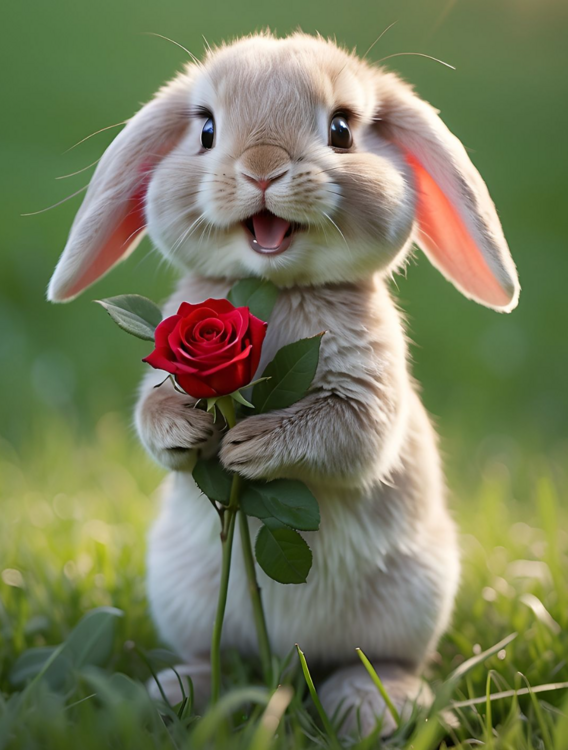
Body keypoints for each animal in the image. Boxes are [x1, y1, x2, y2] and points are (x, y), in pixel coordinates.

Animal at [48, 32, 519, 737]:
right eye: (207, 129)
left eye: (342, 129)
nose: (263, 168)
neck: (280, 286)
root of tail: (293, 656)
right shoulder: (164, 369)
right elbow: (152, 418)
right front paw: (192, 427)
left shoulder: (365, 395)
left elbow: (347, 435)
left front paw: (249, 446)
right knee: (214, 654)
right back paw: (172, 694)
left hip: (412, 601)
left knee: (377, 660)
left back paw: (372, 707)